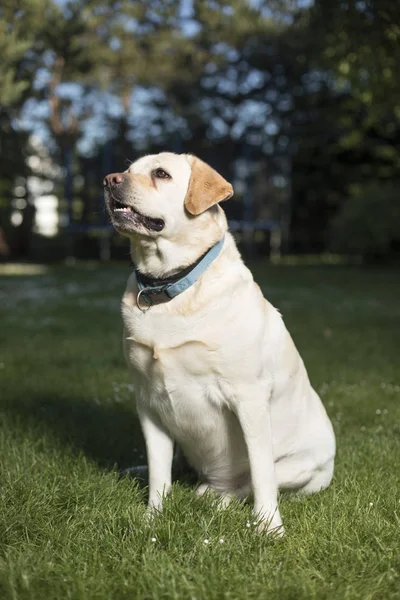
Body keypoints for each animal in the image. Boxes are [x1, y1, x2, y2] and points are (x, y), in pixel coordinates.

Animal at [103, 154, 334, 536]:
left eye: (161, 174)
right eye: (129, 169)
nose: (109, 180)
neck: (169, 287)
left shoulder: (249, 398)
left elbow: (261, 473)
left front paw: (269, 526)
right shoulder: (148, 401)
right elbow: (159, 473)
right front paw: (152, 517)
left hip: (300, 465)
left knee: (246, 484)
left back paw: (216, 499)